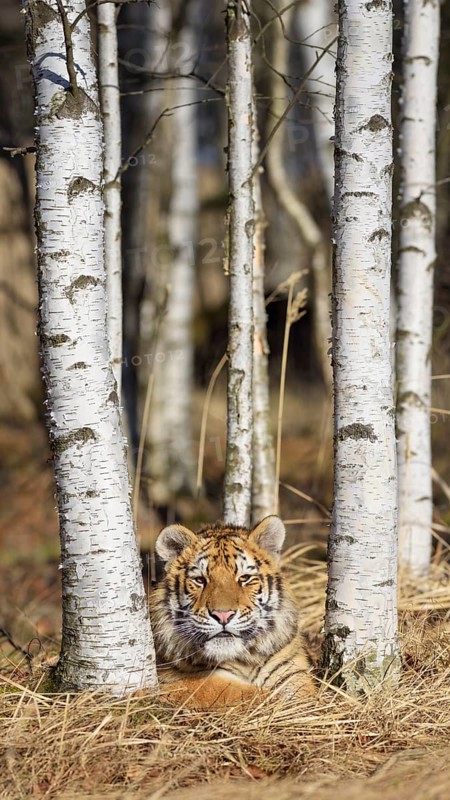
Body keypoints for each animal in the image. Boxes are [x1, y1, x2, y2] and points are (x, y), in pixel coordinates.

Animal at [150, 515, 316, 708]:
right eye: (200, 580)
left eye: (244, 578)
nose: (223, 615)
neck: (245, 663)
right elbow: (231, 691)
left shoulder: (292, 671)